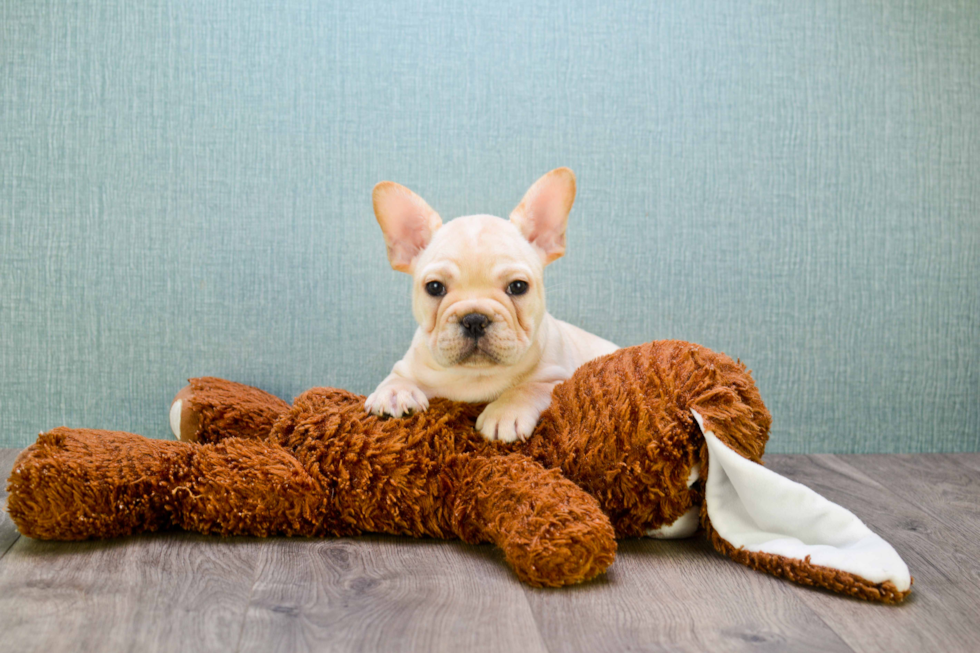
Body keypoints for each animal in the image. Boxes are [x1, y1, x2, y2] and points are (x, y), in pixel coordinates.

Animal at [364, 168, 616, 444]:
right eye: (434, 287)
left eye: (518, 287)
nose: (474, 319)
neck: (476, 375)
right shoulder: (408, 366)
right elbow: (395, 377)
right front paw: (393, 393)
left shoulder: (559, 379)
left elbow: (528, 387)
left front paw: (505, 412)